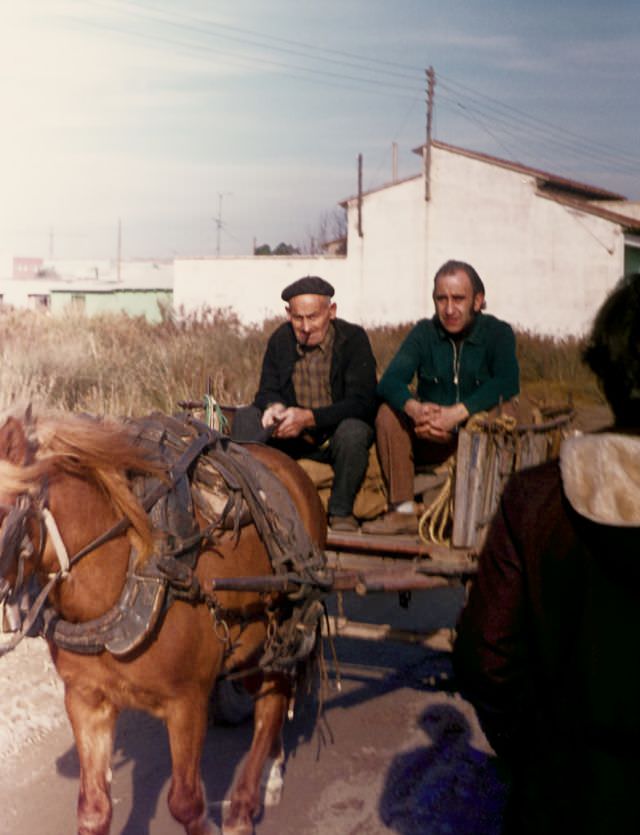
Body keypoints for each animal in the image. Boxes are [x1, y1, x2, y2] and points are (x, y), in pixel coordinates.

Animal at [0, 410, 324, 835]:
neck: (120, 577)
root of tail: (287, 465)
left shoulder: (187, 702)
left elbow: (186, 803)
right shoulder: (86, 700)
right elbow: (93, 811)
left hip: (283, 625)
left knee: (272, 703)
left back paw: (243, 806)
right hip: (250, 642)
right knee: (269, 697)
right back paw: (271, 768)